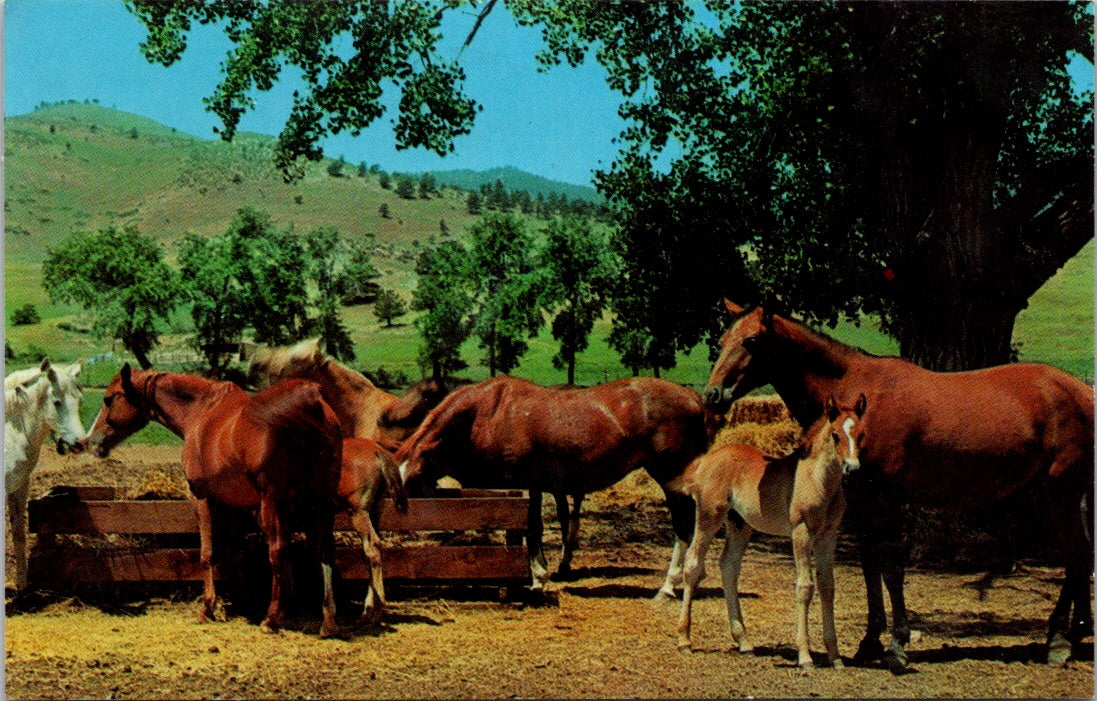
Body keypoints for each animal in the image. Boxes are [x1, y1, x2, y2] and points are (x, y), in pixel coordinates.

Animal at [5, 355, 85, 592]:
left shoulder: (19, 488)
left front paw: (22, 586)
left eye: (79, 402)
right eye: (57, 402)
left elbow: (19, 533)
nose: (79, 444)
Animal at [85, 364, 342, 640]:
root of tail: (311, 401)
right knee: (325, 550)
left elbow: (208, 552)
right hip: (321, 503)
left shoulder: (202, 497)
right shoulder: (236, 507)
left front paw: (207, 607)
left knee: (278, 550)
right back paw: (327, 620)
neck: (201, 412)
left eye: (109, 399)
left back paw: (271, 618)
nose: (91, 441)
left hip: (274, 502)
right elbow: (234, 553)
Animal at [394, 375, 719, 588]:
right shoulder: (531, 487)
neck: (487, 413)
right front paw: (540, 568)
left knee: (683, 524)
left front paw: (538, 575)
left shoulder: (527, 483)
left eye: (406, 486)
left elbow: (532, 528)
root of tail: (694, 399)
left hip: (670, 477)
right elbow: (531, 528)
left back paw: (670, 583)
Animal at [666, 394, 864, 666]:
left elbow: (827, 587)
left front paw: (835, 657)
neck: (817, 481)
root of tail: (706, 459)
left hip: (739, 524)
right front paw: (805, 656)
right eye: (835, 434)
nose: (852, 468)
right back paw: (684, 639)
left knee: (728, 566)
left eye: (861, 433)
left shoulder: (828, 535)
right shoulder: (801, 532)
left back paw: (744, 641)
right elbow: (805, 587)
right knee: (693, 563)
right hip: (709, 515)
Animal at [702, 300, 1088, 666]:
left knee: (1076, 554)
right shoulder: (862, 499)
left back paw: (1058, 640)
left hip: (1062, 490)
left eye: (751, 341)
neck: (859, 393)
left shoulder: (887, 498)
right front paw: (870, 640)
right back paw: (1079, 632)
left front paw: (897, 643)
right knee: (1083, 553)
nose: (712, 395)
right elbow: (871, 563)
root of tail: (1082, 391)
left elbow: (891, 566)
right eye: (723, 340)